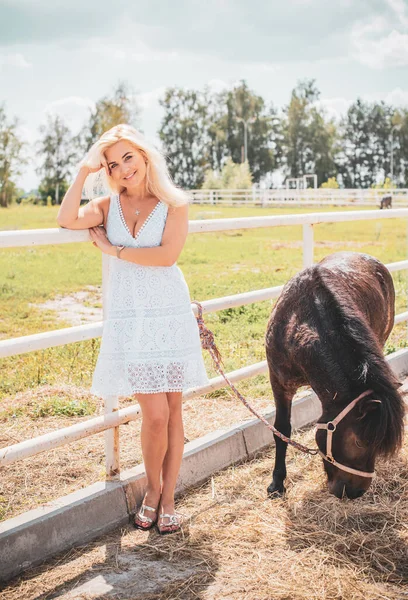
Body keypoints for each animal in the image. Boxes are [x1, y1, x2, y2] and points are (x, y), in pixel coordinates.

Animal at [264, 251, 404, 500]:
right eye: (359, 442)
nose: (356, 492)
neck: (299, 322)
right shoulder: (279, 383)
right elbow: (281, 430)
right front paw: (277, 483)